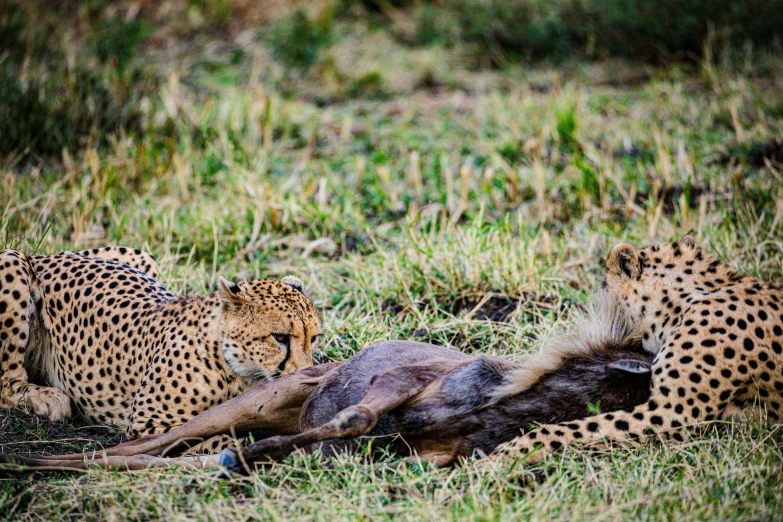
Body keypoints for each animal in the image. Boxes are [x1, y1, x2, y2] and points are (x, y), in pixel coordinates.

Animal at [0, 245, 320, 446]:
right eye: (280, 337)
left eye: (313, 338)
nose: (305, 373)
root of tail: (44, 257)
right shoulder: (146, 424)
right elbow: (211, 438)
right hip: (11, 260)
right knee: (7, 383)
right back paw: (46, 398)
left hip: (141, 256)